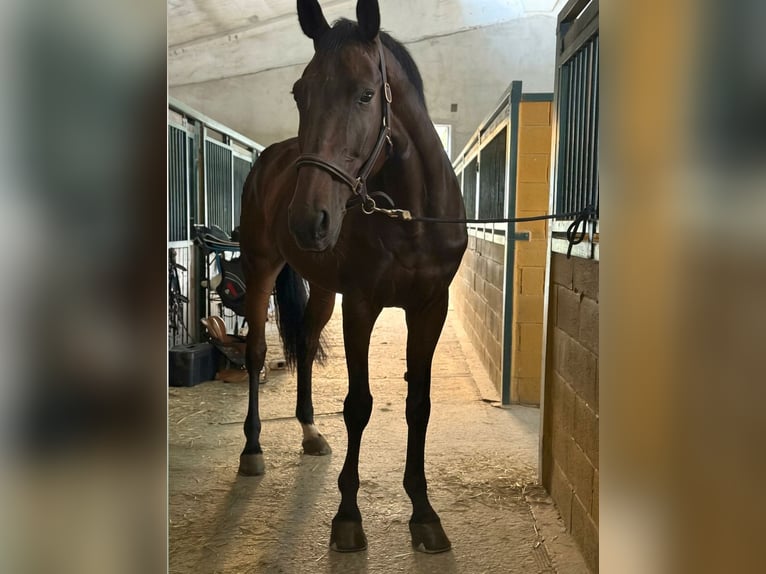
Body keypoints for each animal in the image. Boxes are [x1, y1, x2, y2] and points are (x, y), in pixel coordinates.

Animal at [238, 0, 468, 553]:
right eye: (299, 92)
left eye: (366, 93)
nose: (307, 220)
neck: (411, 217)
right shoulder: (362, 306)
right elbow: (358, 405)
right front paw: (347, 517)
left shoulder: (431, 307)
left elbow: (419, 403)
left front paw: (424, 512)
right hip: (259, 266)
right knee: (256, 352)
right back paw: (252, 449)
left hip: (322, 286)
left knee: (305, 338)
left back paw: (309, 432)